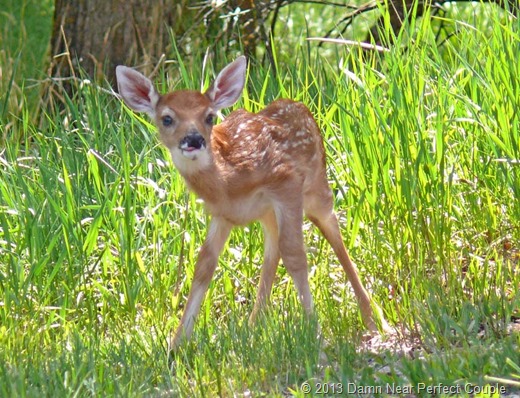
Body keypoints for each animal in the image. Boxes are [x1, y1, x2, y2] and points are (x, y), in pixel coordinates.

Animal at [116, 56, 388, 348]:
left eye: (209, 117)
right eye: (167, 118)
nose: (194, 139)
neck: (229, 181)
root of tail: (300, 105)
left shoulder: (286, 183)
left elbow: (295, 255)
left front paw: (315, 332)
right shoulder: (222, 215)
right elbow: (204, 265)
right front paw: (176, 344)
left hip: (317, 188)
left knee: (333, 233)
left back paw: (374, 321)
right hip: (268, 213)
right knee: (272, 249)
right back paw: (252, 327)